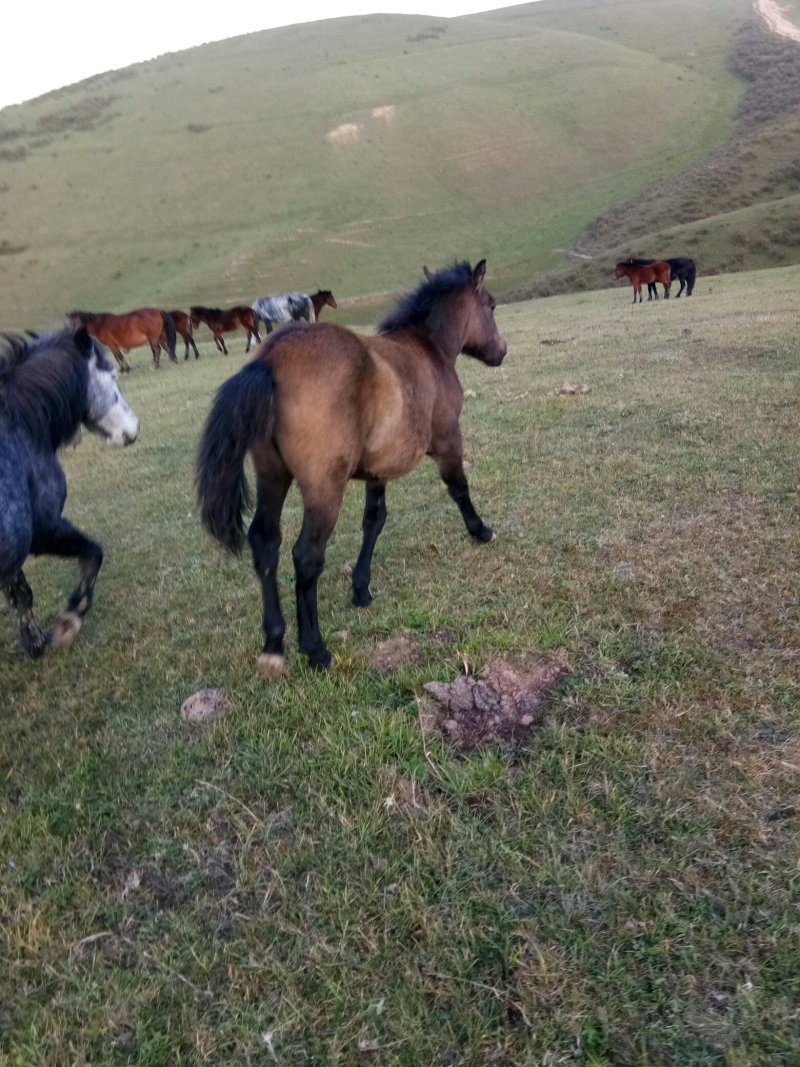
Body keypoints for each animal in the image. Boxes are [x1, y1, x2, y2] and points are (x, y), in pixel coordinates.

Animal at [0, 329, 139, 658]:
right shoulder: (43, 529)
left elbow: (20, 594)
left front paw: (34, 643)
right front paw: (68, 622)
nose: (134, 428)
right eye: (112, 375)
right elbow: (93, 554)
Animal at [197, 259, 506, 677]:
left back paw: (274, 643)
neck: (430, 350)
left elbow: (373, 521)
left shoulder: (379, 470)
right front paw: (481, 530)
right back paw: (314, 649)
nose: (501, 352)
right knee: (306, 556)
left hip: (272, 475)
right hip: (324, 488)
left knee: (265, 542)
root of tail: (270, 358)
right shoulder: (447, 440)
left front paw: (361, 588)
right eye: (491, 306)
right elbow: (458, 488)